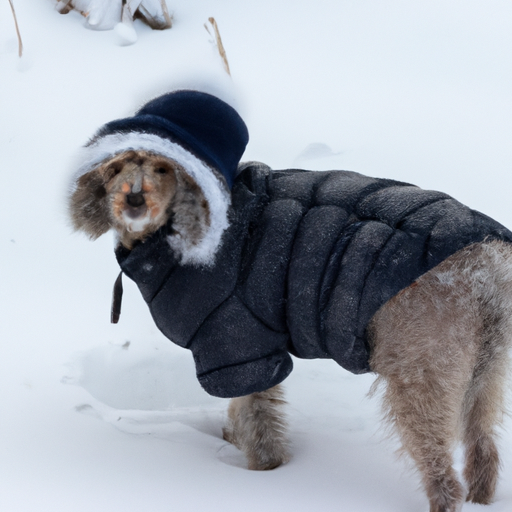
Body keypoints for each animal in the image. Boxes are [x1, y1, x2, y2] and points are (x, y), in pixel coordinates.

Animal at [68, 90, 512, 510]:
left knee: (443, 476)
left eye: (163, 167)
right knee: (484, 450)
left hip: (420, 375)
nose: (134, 199)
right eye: (114, 168)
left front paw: (264, 476)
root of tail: (485, 267)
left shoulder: (237, 343)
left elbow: (259, 419)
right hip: (484, 373)